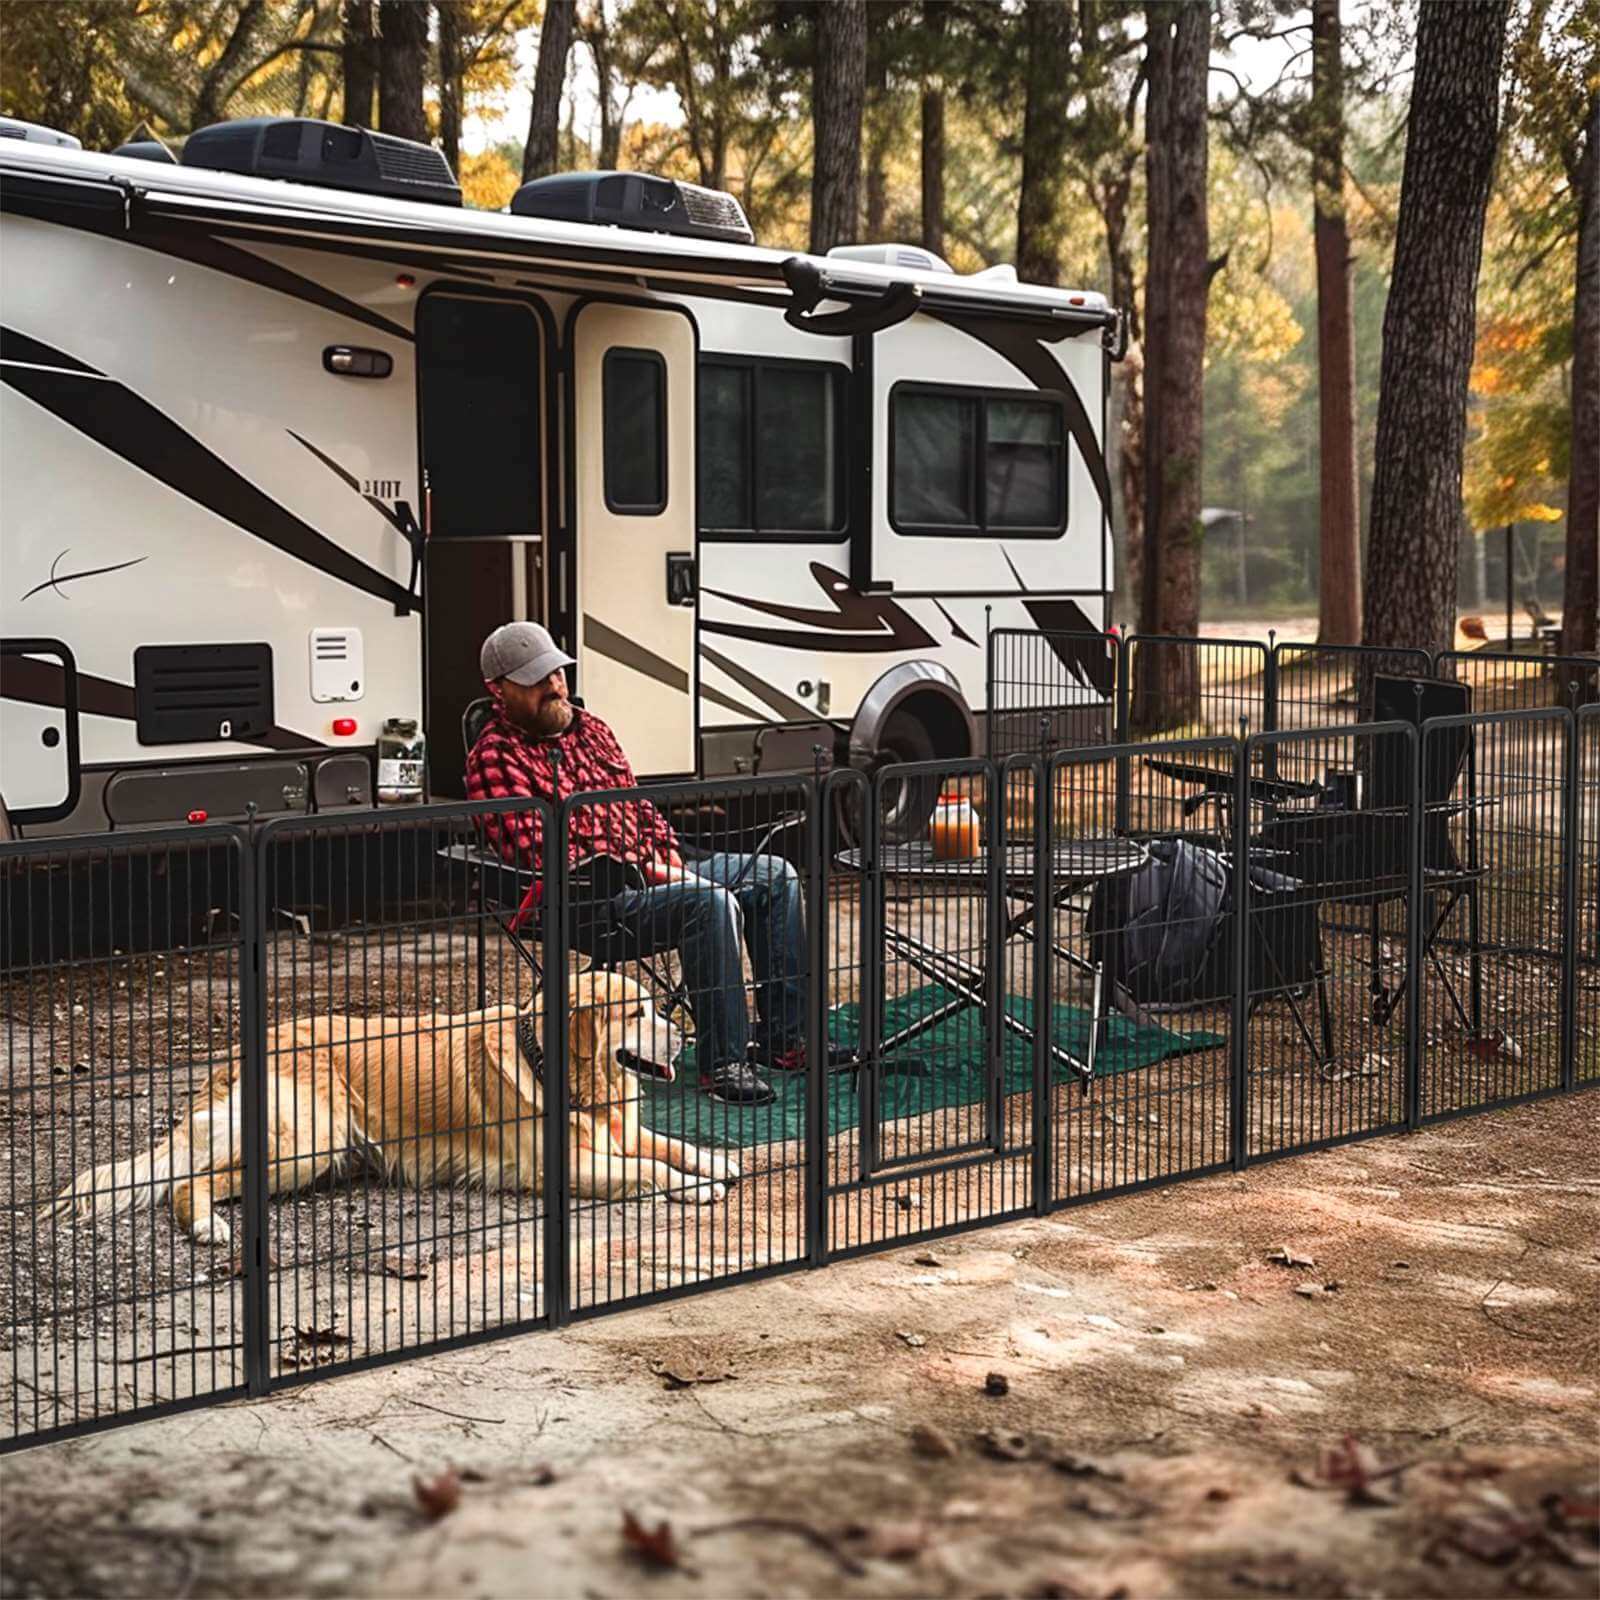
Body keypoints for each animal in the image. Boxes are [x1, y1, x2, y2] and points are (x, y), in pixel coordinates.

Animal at [53, 966, 739, 1241]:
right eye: (636, 1013)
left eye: (654, 1008)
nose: (683, 1036)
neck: (552, 1069)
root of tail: (247, 1049)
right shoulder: (561, 1166)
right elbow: (646, 1170)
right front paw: (694, 1188)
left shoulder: (617, 1134)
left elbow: (670, 1144)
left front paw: (715, 1164)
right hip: (307, 1144)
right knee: (187, 1182)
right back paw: (205, 1226)